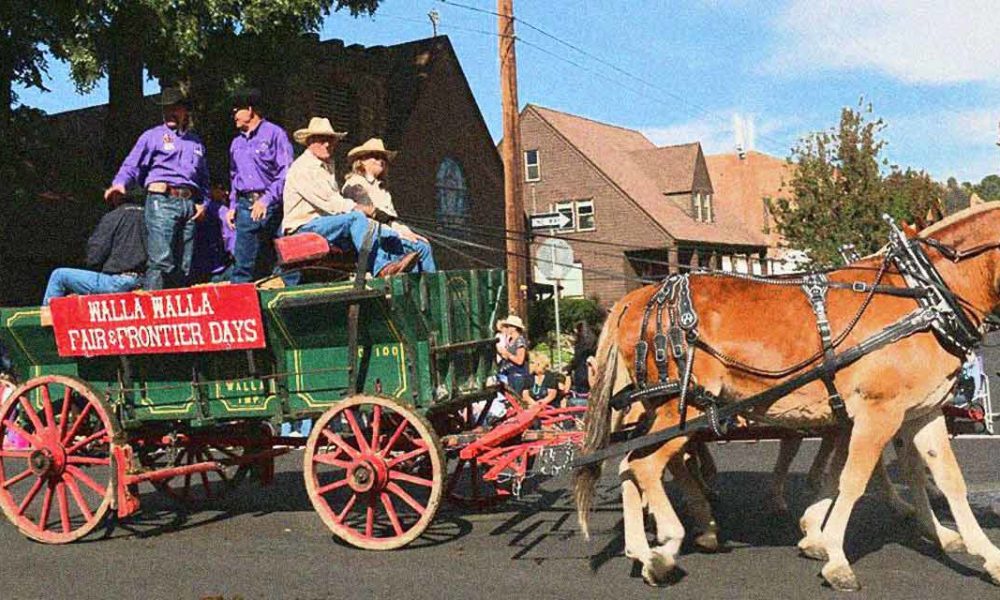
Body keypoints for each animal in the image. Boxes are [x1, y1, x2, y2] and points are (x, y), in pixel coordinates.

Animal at [572, 204, 1000, 588]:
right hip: (684, 406)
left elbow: (948, 480)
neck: (924, 294)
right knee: (644, 465)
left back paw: (646, 549)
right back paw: (668, 543)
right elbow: (854, 478)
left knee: (631, 464)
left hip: (659, 409)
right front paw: (834, 554)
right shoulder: (879, 412)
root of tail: (637, 298)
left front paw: (985, 555)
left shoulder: (920, 413)